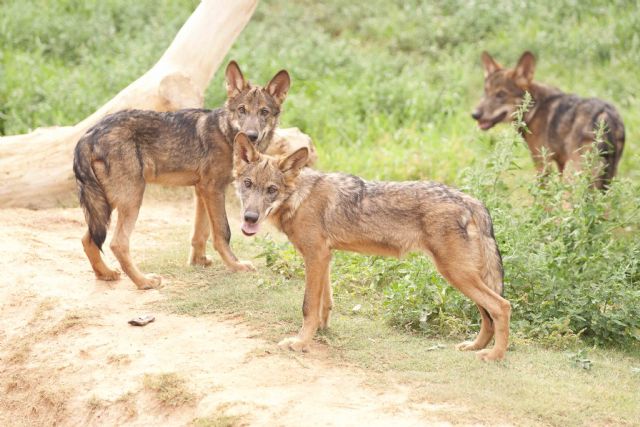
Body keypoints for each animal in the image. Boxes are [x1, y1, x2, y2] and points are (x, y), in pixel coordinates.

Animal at [72, 61, 290, 290]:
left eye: (264, 112)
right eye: (242, 110)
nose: (251, 135)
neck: (226, 134)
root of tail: (88, 135)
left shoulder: (202, 191)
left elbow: (200, 233)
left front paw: (198, 262)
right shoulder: (213, 189)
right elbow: (223, 232)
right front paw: (236, 265)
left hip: (107, 205)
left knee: (88, 239)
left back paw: (105, 273)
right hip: (131, 200)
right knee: (117, 243)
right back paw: (144, 282)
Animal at [234, 134, 510, 362]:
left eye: (271, 190)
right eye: (247, 184)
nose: (249, 217)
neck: (300, 198)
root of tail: (472, 201)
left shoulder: (315, 257)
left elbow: (308, 306)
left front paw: (300, 342)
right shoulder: (324, 257)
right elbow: (325, 302)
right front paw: (322, 331)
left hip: (456, 274)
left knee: (502, 307)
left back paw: (494, 356)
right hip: (463, 276)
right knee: (488, 315)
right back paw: (474, 347)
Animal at [470, 51, 624, 190]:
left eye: (501, 94)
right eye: (486, 92)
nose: (475, 114)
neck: (535, 108)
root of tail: (605, 114)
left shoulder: (542, 163)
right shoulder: (560, 163)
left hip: (575, 174)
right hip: (607, 177)